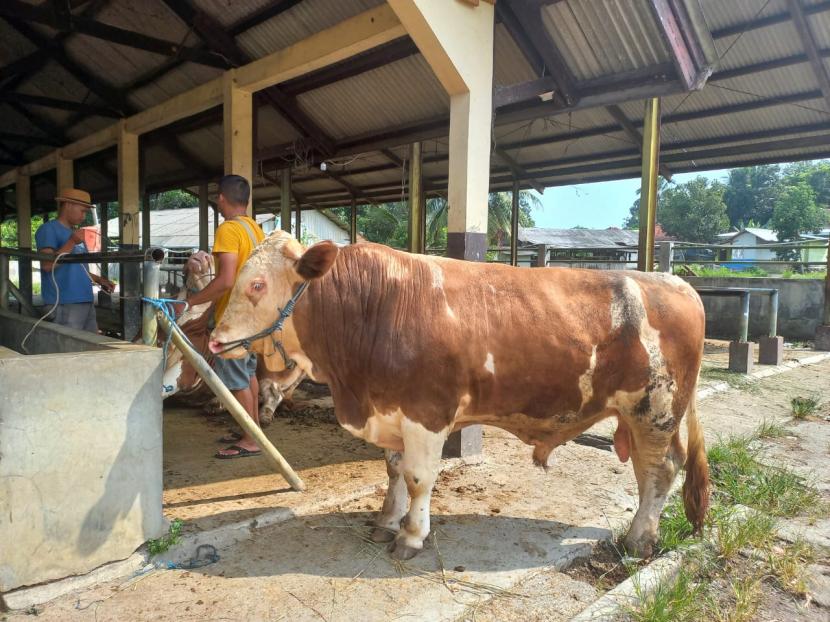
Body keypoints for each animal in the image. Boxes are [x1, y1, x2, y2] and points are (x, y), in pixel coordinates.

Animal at [211, 233, 712, 560]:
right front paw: (385, 522)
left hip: (656, 411)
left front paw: (411, 536)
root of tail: (675, 282)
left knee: (659, 472)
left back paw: (639, 539)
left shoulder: (427, 413)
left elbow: (418, 478)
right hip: (642, 414)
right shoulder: (392, 412)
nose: (214, 341)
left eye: (256, 285)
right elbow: (393, 470)